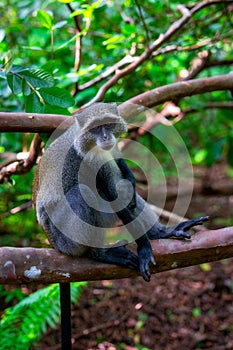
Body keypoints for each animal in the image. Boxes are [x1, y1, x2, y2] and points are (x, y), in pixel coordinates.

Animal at [33, 102, 209, 282]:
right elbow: (114, 198)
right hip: (65, 240)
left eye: (108, 124)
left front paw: (130, 178)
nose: (106, 137)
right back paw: (99, 253)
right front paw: (144, 250)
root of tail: (53, 243)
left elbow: (122, 175)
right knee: (80, 193)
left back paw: (161, 232)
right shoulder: (92, 161)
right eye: (96, 128)